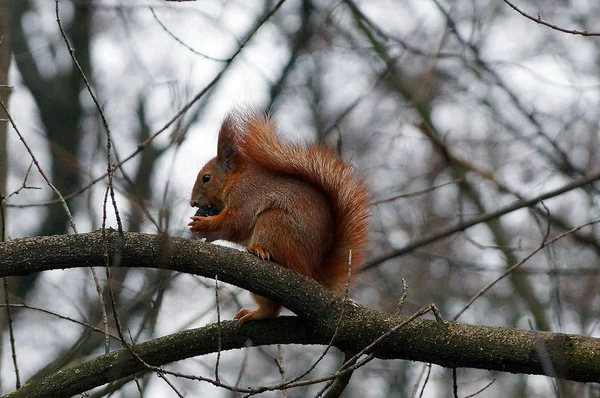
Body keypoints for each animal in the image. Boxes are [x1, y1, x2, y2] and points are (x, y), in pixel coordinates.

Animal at [189, 109, 370, 324]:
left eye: (206, 178)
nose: (192, 202)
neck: (235, 178)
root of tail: (313, 272)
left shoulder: (245, 196)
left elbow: (235, 222)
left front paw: (203, 224)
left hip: (274, 223)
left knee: (271, 308)